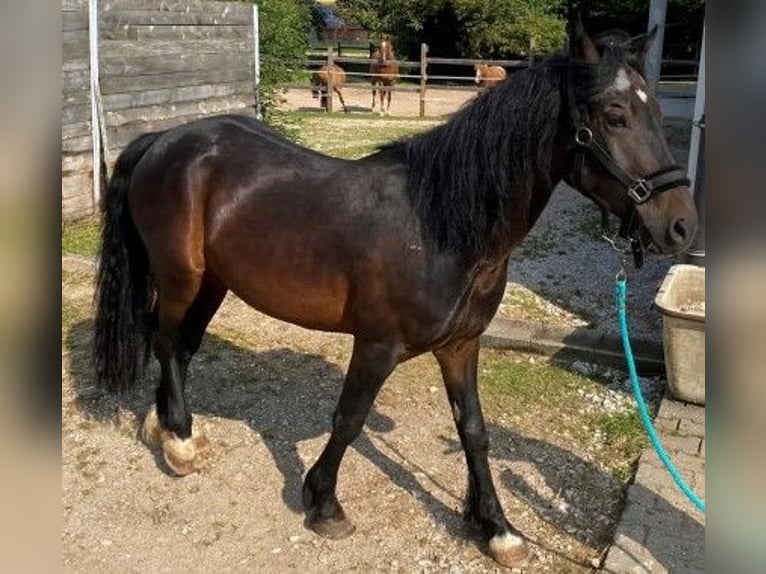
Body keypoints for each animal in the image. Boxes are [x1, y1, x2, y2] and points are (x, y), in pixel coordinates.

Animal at [94, 19, 696, 572]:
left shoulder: (462, 346)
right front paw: (323, 504)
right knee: (165, 341)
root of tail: (163, 142)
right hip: (180, 277)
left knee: (182, 346)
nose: (681, 227)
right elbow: (349, 419)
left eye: (657, 114)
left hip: (214, 283)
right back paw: (179, 443)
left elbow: (474, 431)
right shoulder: (376, 346)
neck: (441, 227)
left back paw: (169, 426)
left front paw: (496, 527)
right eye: (614, 115)